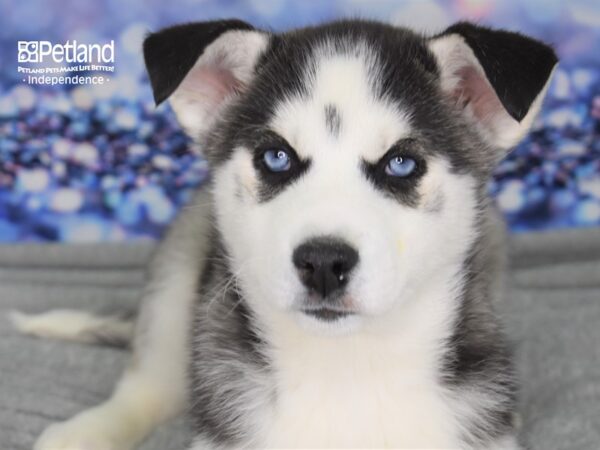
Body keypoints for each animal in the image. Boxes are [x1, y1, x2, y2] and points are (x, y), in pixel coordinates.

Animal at [15, 17, 556, 450]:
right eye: (276, 157)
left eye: (401, 164)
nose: (324, 263)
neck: (347, 372)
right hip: (180, 261)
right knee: (149, 384)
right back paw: (88, 430)